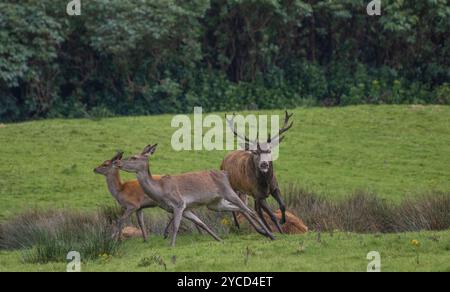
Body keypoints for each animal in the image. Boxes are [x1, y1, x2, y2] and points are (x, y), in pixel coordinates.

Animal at [114, 144, 274, 246]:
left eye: (134, 157)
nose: (118, 163)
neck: (160, 192)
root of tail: (225, 173)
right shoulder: (185, 209)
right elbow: (201, 223)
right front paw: (219, 240)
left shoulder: (179, 204)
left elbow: (176, 226)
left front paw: (171, 245)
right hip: (215, 204)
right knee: (240, 209)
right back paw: (265, 233)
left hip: (229, 192)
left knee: (249, 210)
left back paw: (271, 234)